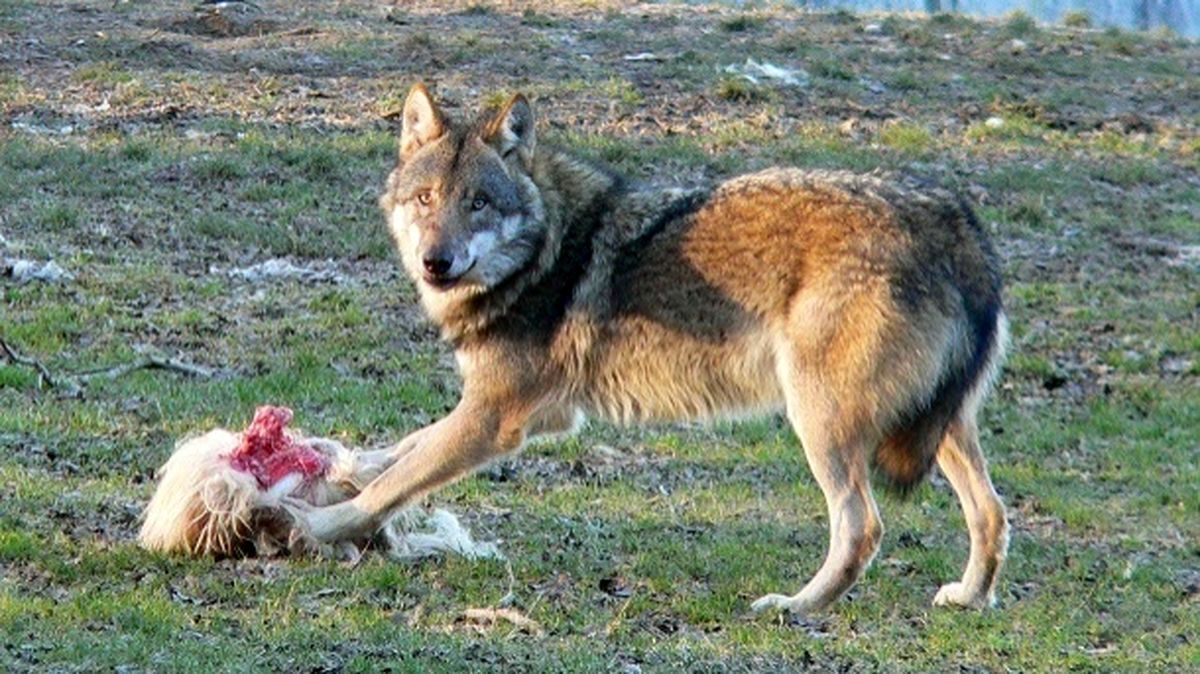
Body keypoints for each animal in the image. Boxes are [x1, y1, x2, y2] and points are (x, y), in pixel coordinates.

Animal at [285, 83, 1008, 614]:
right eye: (426, 198)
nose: (437, 262)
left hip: (820, 422)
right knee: (992, 512)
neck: (545, 255)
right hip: (936, 427)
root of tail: (956, 221)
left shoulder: (496, 418)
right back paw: (968, 597)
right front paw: (344, 465)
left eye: (479, 204)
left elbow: (397, 482)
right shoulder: (524, 412)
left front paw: (313, 524)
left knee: (862, 527)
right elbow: (402, 451)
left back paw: (796, 607)